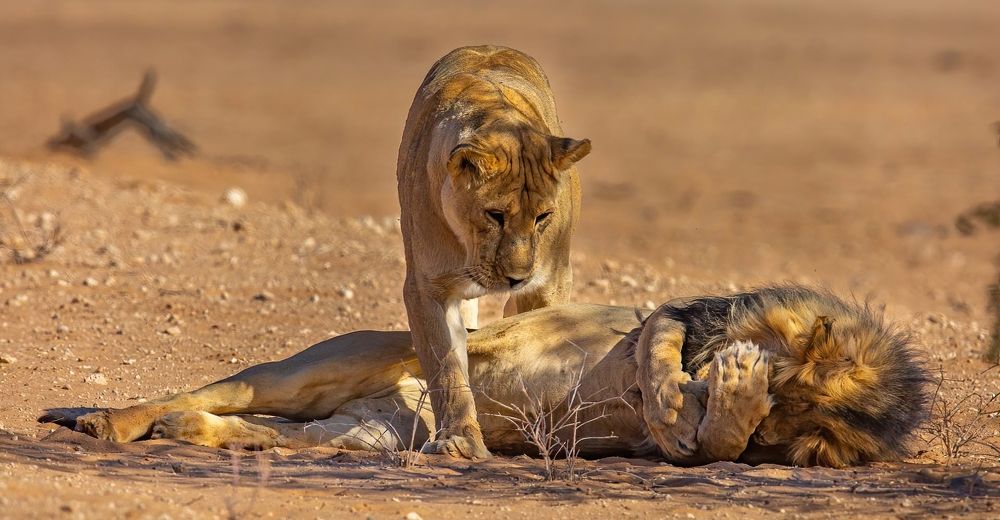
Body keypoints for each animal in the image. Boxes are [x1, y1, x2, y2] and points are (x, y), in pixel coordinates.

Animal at [396, 45, 591, 459]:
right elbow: (446, 368)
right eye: (495, 215)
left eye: (543, 216)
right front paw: (459, 438)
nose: (516, 277)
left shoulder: (549, 282)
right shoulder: (425, 287)